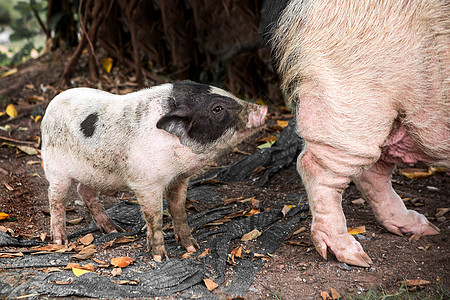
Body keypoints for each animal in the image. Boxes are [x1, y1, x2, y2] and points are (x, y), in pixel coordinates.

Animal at [40, 81, 268, 262]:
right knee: (55, 199)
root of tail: (52, 104)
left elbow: (179, 210)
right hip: (55, 168)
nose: (263, 109)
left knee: (84, 191)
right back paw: (60, 242)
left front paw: (193, 248)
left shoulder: (179, 179)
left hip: (92, 172)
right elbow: (155, 216)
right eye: (217, 108)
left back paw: (115, 230)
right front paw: (160, 257)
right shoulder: (146, 182)